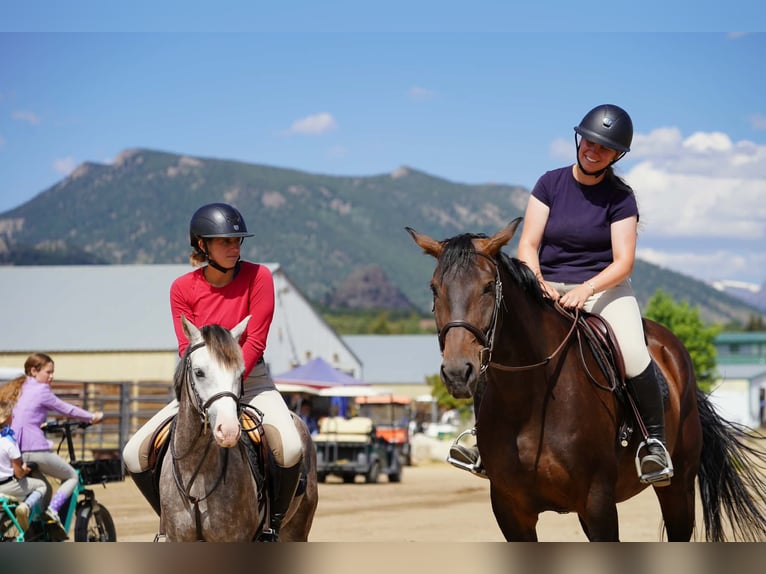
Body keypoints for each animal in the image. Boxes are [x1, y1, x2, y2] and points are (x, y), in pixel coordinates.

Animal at [407, 218, 766, 541]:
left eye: (486, 287)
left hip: (677, 487)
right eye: (434, 289)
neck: (530, 400)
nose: (457, 372)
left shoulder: (598, 504)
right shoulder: (511, 511)